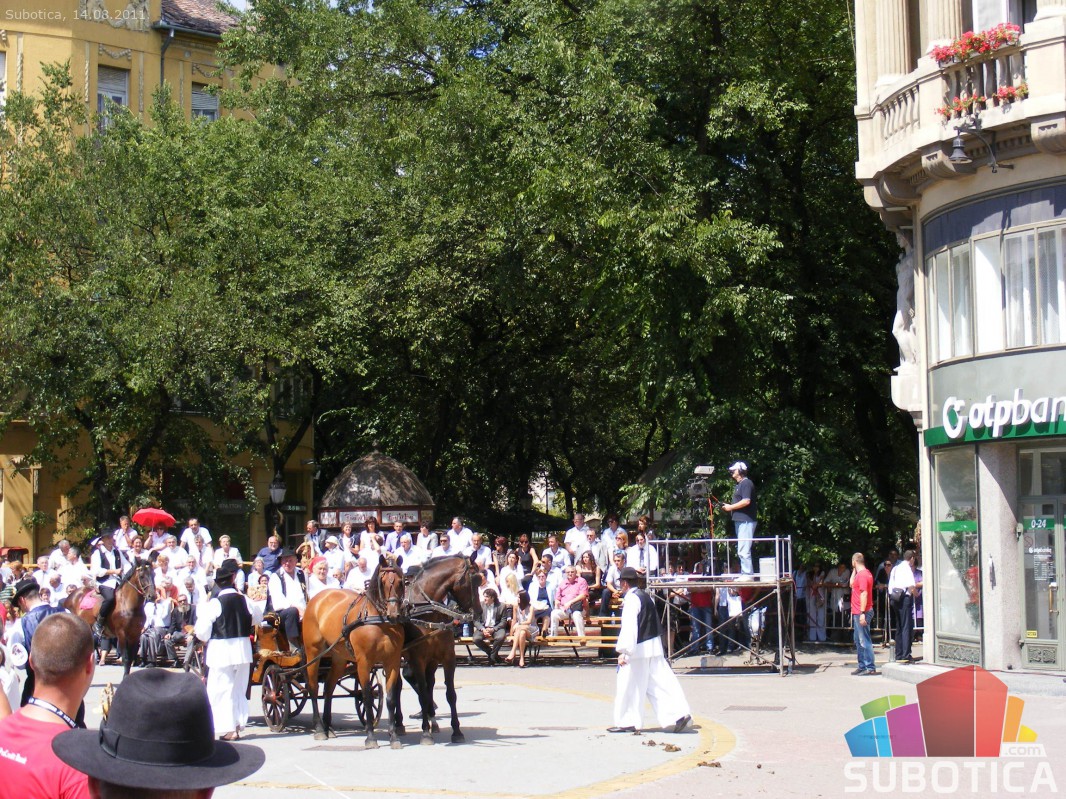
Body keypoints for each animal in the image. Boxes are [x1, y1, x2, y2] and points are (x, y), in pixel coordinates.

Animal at [301, 558, 406, 748]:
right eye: (383, 582)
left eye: (401, 582)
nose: (394, 614)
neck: (379, 621)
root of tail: (316, 599)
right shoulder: (364, 662)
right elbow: (367, 696)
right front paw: (370, 737)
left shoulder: (392, 662)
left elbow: (390, 698)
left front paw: (394, 736)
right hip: (313, 652)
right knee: (313, 688)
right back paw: (319, 728)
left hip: (339, 657)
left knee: (329, 687)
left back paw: (328, 727)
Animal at [401, 555, 483, 745]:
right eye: (476, 578)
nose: (479, 612)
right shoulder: (417, 659)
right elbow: (423, 694)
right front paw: (425, 732)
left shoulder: (447, 658)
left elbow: (450, 694)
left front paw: (457, 731)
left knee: (428, 683)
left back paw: (432, 719)